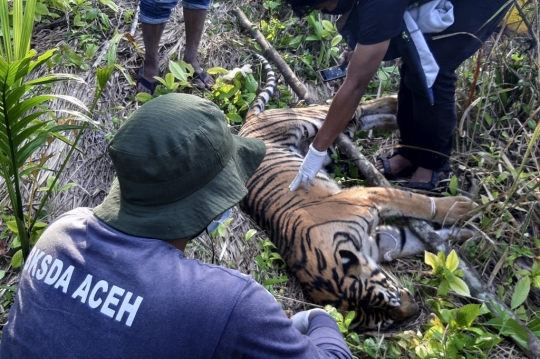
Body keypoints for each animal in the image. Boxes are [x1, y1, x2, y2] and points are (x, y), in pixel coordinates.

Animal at [238, 54, 474, 332]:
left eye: (392, 296)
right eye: (386, 321)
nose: (416, 310)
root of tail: (247, 122)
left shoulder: (367, 196)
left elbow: (416, 202)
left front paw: (463, 207)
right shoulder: (381, 242)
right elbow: (416, 239)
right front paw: (463, 235)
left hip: (309, 121)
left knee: (345, 106)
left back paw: (396, 104)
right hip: (329, 145)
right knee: (356, 120)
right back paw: (393, 119)